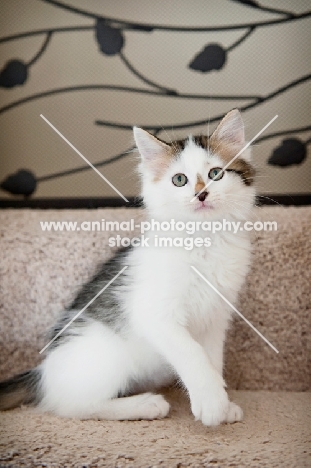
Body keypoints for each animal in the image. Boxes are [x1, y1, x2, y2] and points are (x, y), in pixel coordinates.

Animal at [0, 108, 256, 426]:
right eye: (180, 179)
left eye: (216, 174)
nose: (201, 194)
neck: (204, 239)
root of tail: (44, 372)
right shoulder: (153, 314)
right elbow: (192, 353)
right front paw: (211, 403)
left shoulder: (216, 317)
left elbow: (211, 358)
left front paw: (223, 402)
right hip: (105, 356)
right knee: (71, 406)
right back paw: (144, 405)